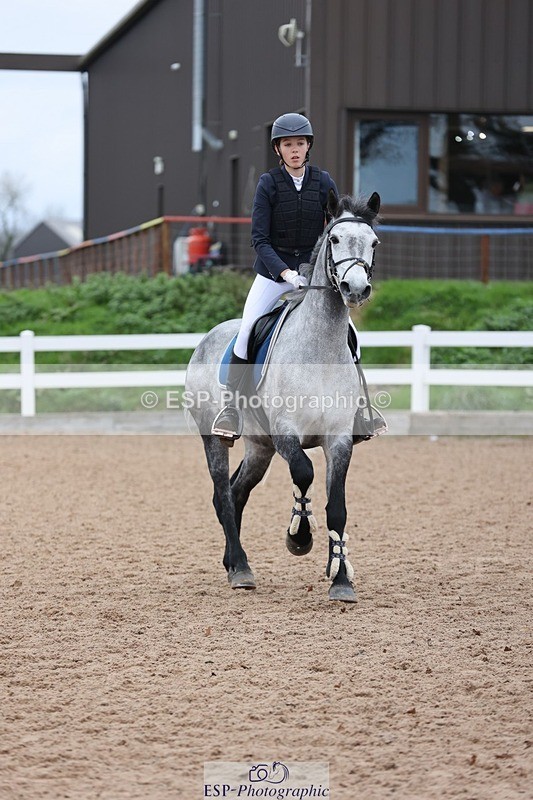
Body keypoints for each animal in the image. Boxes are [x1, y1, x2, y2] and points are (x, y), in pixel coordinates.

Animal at [184, 191, 381, 602]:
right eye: (334, 239)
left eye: (373, 243)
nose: (355, 289)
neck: (319, 349)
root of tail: (208, 337)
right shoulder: (286, 433)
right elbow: (303, 473)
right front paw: (300, 537)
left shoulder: (338, 439)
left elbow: (337, 507)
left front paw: (341, 578)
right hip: (215, 438)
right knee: (222, 493)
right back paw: (241, 569)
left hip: (260, 446)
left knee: (237, 492)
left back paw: (232, 562)